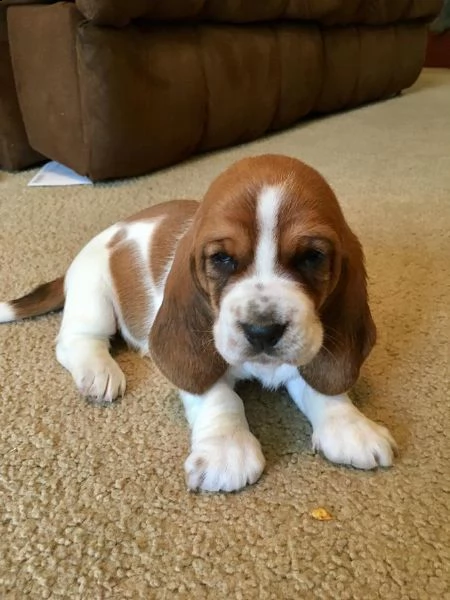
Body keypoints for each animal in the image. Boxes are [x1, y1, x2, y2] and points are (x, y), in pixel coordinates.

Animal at [0, 155, 396, 492]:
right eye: (222, 259)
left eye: (311, 257)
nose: (262, 331)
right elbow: (220, 398)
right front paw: (227, 451)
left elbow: (322, 386)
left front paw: (351, 426)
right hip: (94, 295)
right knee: (77, 340)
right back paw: (99, 373)